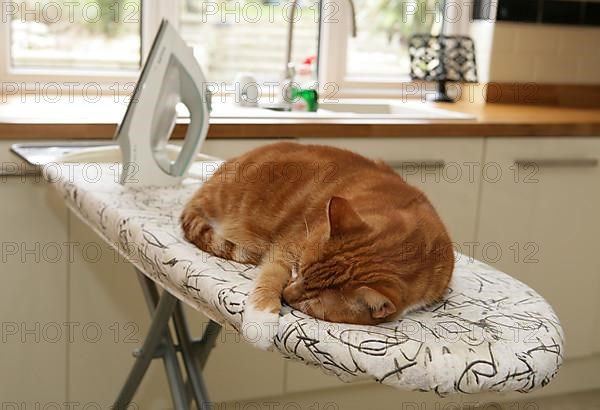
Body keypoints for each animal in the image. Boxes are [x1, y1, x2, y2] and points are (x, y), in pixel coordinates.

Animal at [180, 143, 452, 350]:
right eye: (297, 269)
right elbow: (270, 277)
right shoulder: (284, 248)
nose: (286, 296)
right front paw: (261, 320)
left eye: (312, 302)